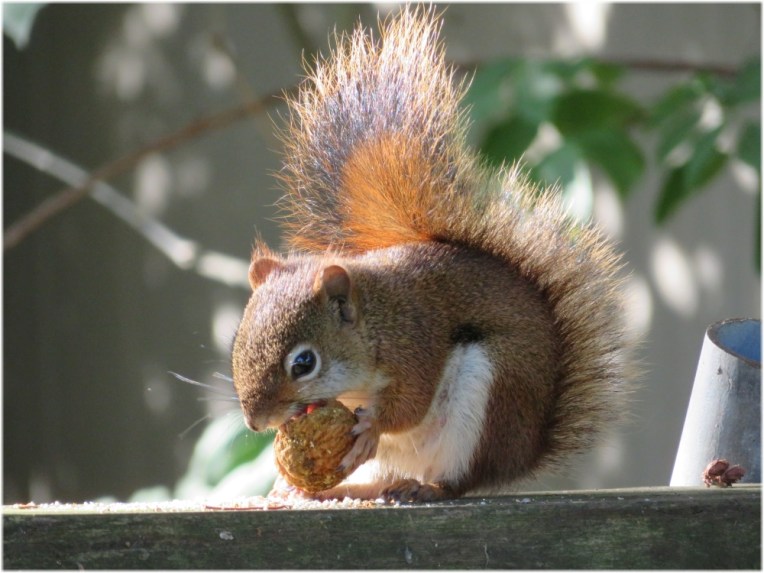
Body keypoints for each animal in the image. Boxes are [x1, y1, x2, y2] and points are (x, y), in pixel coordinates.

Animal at [231, 7, 632, 503]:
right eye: (236, 344)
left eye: (303, 363)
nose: (256, 422)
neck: (375, 322)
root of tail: (522, 455)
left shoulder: (416, 343)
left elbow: (410, 404)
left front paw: (371, 425)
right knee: (381, 474)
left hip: (487, 399)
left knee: (460, 479)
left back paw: (426, 488)